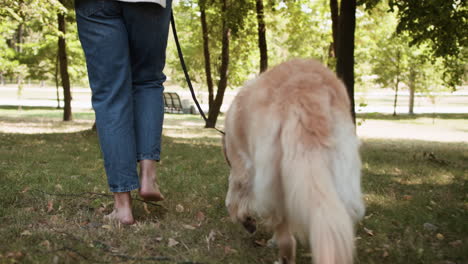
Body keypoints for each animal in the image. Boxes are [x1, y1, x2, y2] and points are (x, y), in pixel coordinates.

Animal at [223, 59, 366, 264]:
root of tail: (304, 92)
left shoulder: (242, 168)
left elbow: (231, 199)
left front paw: (245, 220)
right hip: (341, 173)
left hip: (273, 181)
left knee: (287, 238)